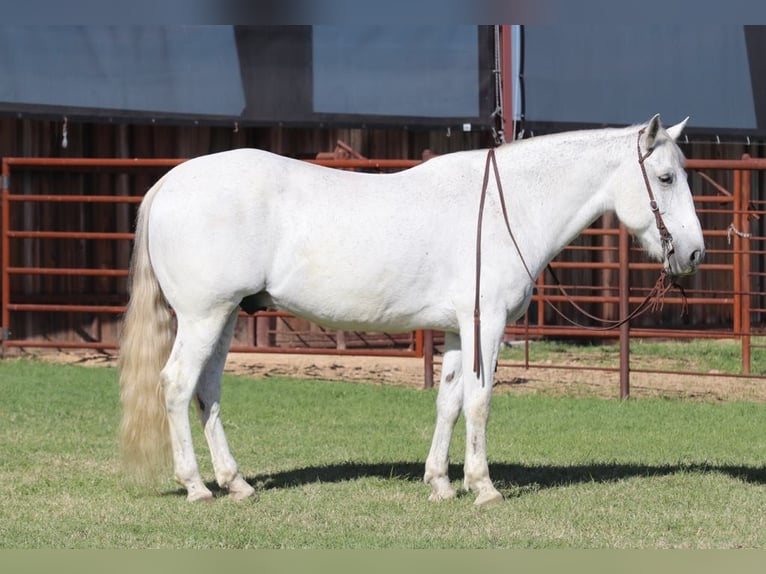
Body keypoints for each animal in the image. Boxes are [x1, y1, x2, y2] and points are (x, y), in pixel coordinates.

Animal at [119, 114, 705, 505]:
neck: (508, 206)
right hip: (204, 316)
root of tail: (167, 183)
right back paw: (197, 487)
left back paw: (235, 482)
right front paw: (483, 487)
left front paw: (441, 483)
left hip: (225, 317)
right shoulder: (485, 324)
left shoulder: (457, 331)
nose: (695, 253)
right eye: (667, 178)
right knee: (176, 385)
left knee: (208, 389)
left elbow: (448, 402)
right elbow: (479, 403)